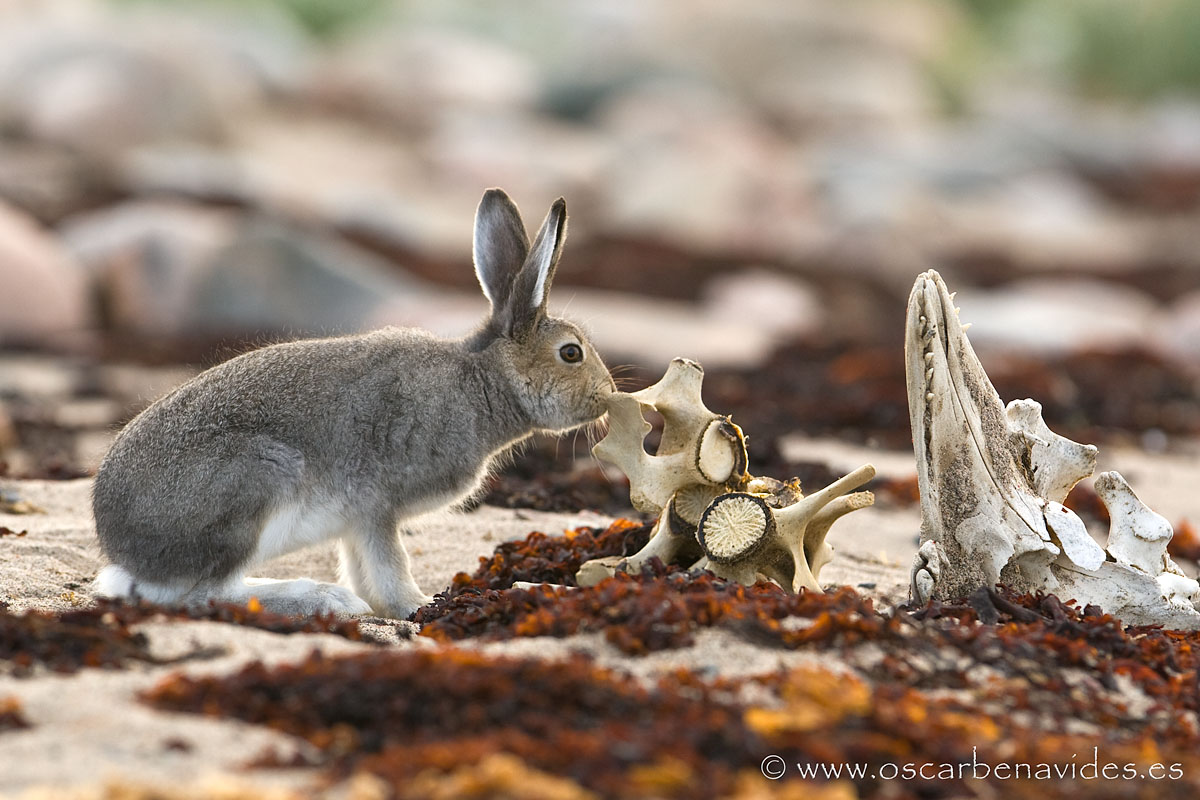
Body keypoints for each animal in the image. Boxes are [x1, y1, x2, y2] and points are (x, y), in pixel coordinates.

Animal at [92, 188, 616, 618]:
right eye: (571, 353)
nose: (608, 397)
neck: (481, 381)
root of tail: (124, 550)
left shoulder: (354, 523)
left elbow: (363, 567)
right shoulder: (376, 505)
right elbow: (390, 566)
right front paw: (417, 606)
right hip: (256, 481)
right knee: (205, 595)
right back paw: (323, 600)